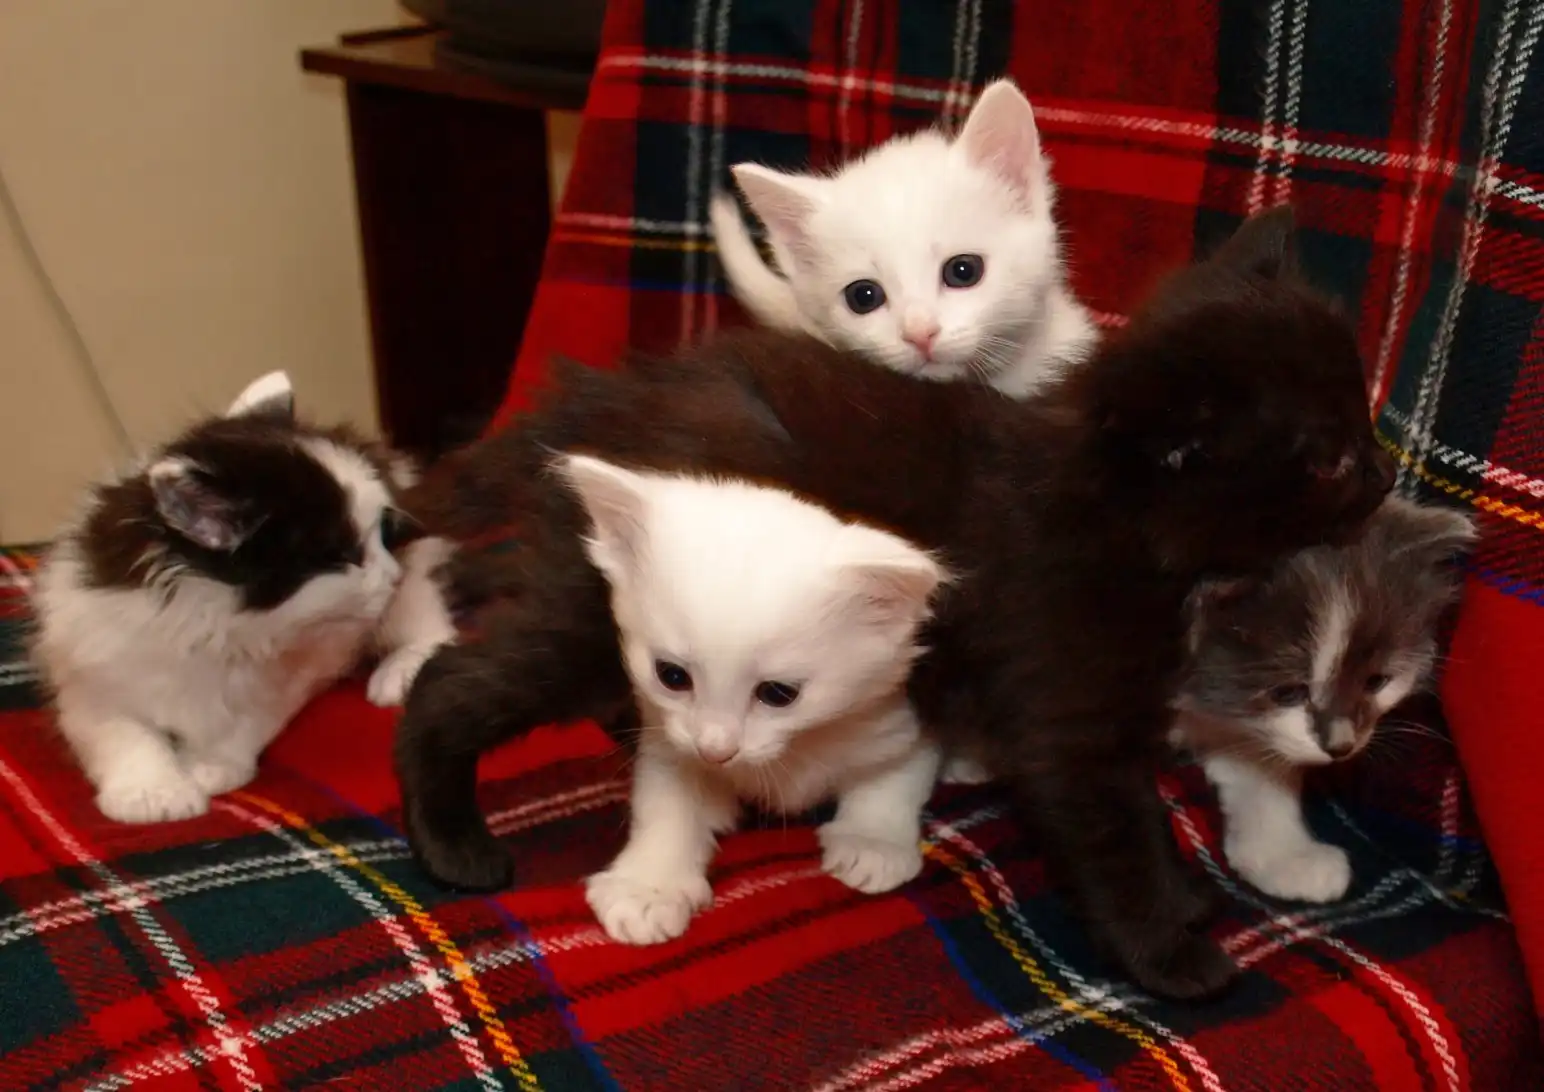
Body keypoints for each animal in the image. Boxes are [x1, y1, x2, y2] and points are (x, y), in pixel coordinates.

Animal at [31, 371, 457, 824]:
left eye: (382, 538)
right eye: (343, 556)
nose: (391, 576)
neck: (217, 626)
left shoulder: (299, 671)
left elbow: (249, 720)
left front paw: (212, 767)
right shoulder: (86, 673)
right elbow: (122, 731)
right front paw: (152, 794)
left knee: (431, 621)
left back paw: (402, 669)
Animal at [555, 454, 949, 944]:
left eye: (778, 694)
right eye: (672, 676)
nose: (716, 749)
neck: (793, 751)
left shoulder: (904, 717)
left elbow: (894, 775)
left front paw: (873, 841)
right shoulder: (665, 736)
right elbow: (666, 802)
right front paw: (649, 885)